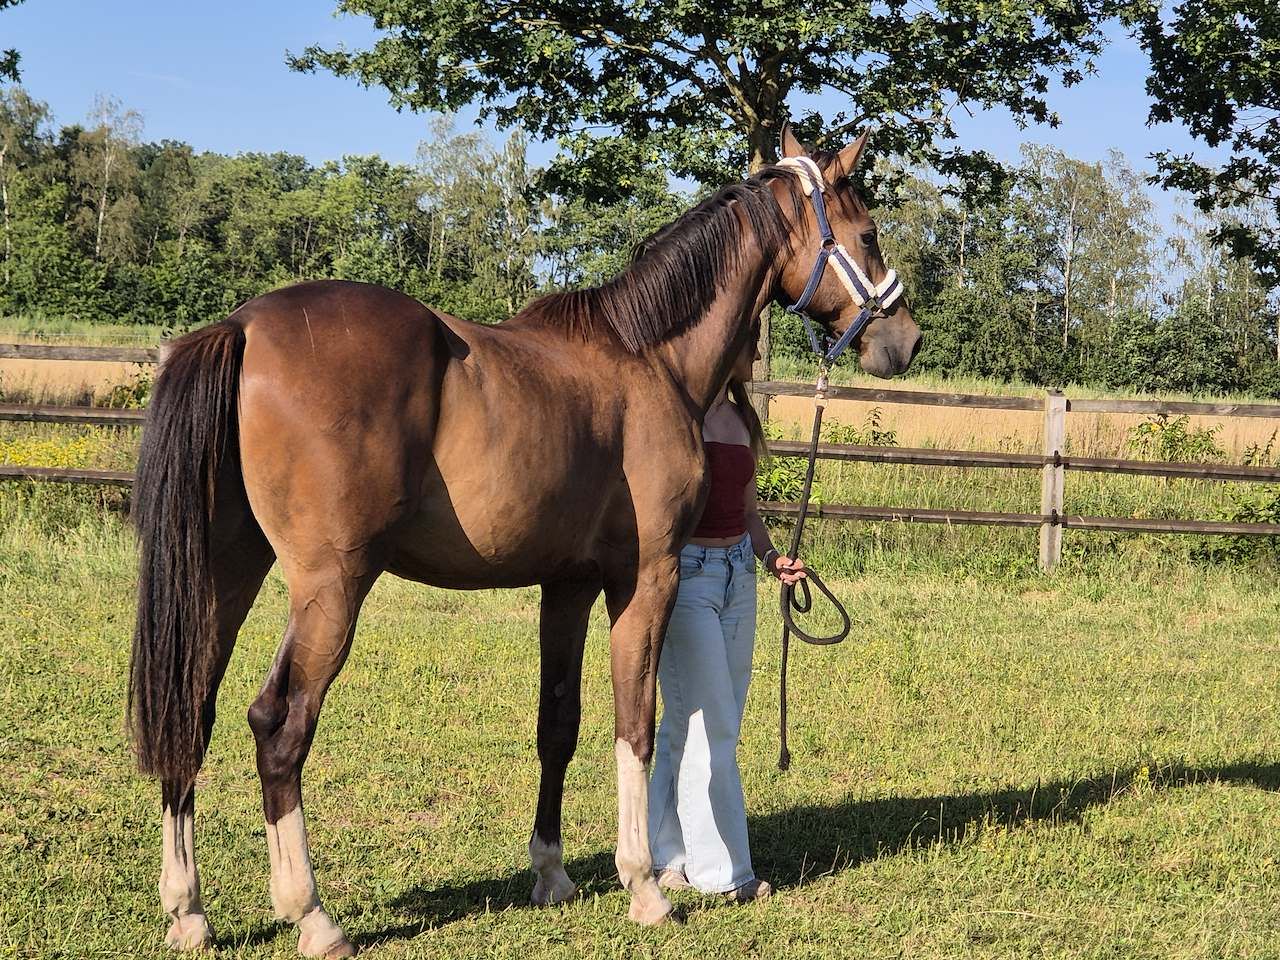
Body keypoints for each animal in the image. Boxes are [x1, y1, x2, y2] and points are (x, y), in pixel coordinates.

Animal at [129, 123, 921, 957]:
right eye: (869, 233)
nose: (905, 338)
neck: (647, 357)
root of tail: (243, 327)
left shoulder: (566, 584)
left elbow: (558, 724)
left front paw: (552, 874)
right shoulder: (648, 578)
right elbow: (635, 726)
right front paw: (644, 887)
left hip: (228, 570)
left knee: (192, 708)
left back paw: (188, 911)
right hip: (331, 585)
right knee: (279, 726)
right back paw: (311, 914)